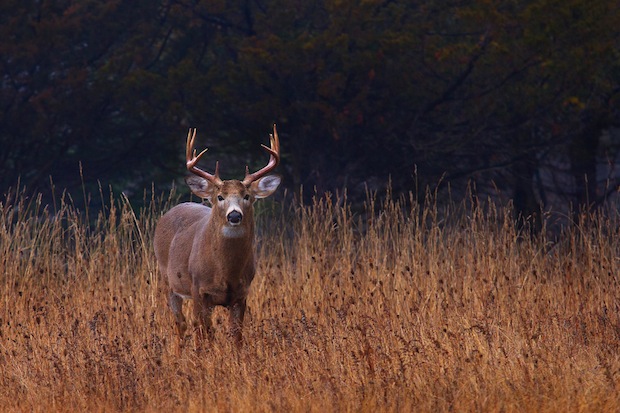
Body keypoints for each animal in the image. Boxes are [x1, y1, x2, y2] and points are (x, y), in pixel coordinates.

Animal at [154, 124, 282, 346]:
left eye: (247, 196)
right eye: (220, 197)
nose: (234, 215)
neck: (225, 272)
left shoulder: (241, 294)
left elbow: (236, 336)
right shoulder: (199, 290)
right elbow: (204, 334)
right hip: (168, 281)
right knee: (181, 324)